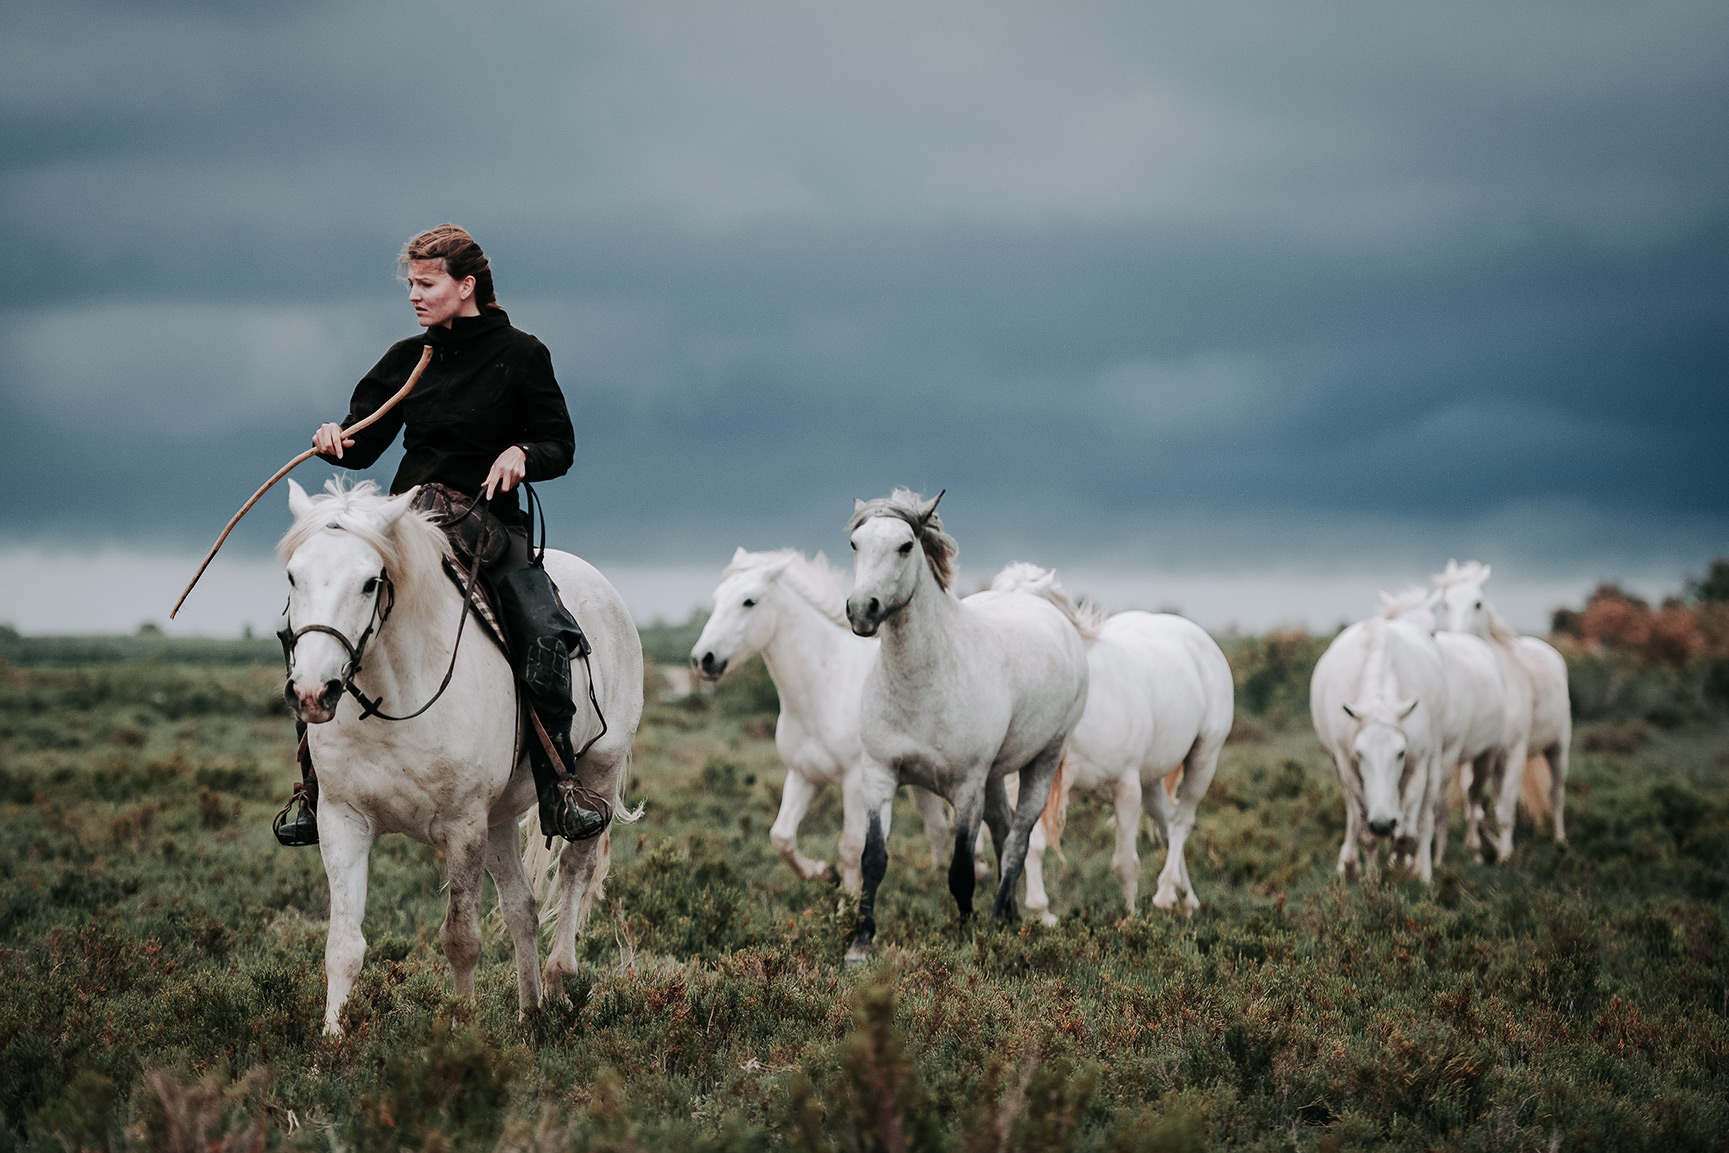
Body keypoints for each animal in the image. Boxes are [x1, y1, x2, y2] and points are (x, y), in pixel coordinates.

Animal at [280, 477, 646, 1030]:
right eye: (293, 576)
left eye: (369, 582)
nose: (311, 693)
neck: (396, 700)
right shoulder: (342, 821)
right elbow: (343, 945)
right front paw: (333, 1041)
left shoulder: (463, 826)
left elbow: (461, 939)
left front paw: (461, 1031)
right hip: (499, 817)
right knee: (522, 908)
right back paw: (530, 1013)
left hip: (596, 776)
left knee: (573, 872)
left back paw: (559, 981)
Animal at [684, 546, 947, 891]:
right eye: (717, 599)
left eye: (749, 601)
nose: (703, 660)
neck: (823, 689)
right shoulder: (804, 776)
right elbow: (781, 836)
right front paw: (823, 872)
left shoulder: (855, 783)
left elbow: (851, 847)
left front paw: (848, 902)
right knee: (939, 827)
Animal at [1431, 560, 1569, 864]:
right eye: (1445, 604)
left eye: (1478, 603)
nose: (1458, 641)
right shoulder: (1476, 756)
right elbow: (1475, 804)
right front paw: (1477, 850)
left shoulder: (1515, 754)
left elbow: (1506, 808)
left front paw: (1505, 856)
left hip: (1557, 748)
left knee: (1556, 794)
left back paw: (1560, 840)